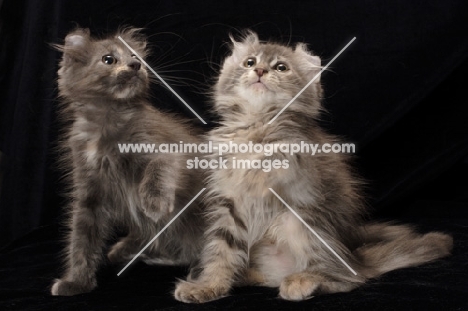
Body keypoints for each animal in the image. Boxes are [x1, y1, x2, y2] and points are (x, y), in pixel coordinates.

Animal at [51, 28, 205, 296]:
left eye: (135, 57)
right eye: (108, 59)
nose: (136, 65)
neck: (106, 120)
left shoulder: (170, 149)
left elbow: (158, 168)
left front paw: (154, 202)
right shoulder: (88, 192)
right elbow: (81, 240)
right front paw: (76, 282)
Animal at [174, 31, 452, 302]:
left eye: (281, 67)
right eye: (250, 62)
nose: (260, 71)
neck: (257, 122)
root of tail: (355, 260)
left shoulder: (295, 176)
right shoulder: (230, 203)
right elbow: (222, 251)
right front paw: (209, 286)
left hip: (297, 221)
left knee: (347, 279)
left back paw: (304, 281)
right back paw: (240, 276)